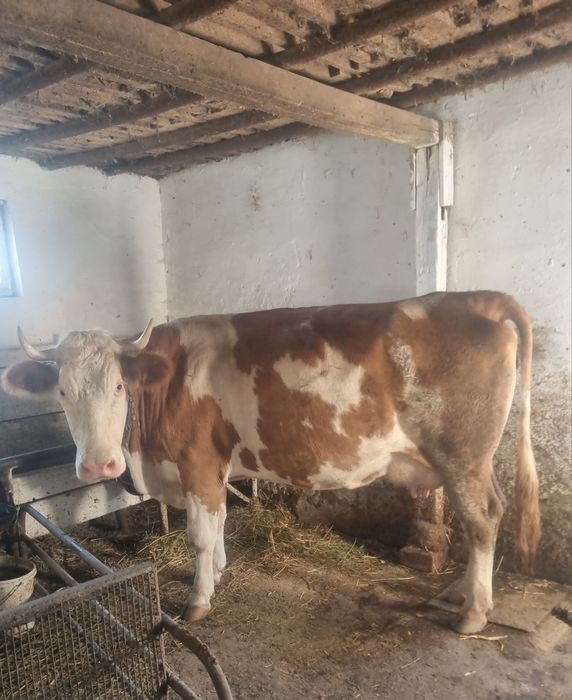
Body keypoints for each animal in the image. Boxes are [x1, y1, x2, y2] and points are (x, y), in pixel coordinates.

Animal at [2, 291, 540, 635]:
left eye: (119, 386)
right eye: (62, 392)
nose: (97, 468)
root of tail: (473, 297)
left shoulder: (198, 461)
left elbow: (199, 535)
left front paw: (199, 599)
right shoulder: (213, 467)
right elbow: (218, 523)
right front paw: (219, 572)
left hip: (463, 456)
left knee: (482, 519)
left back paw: (473, 613)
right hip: (466, 461)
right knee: (483, 518)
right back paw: (461, 594)